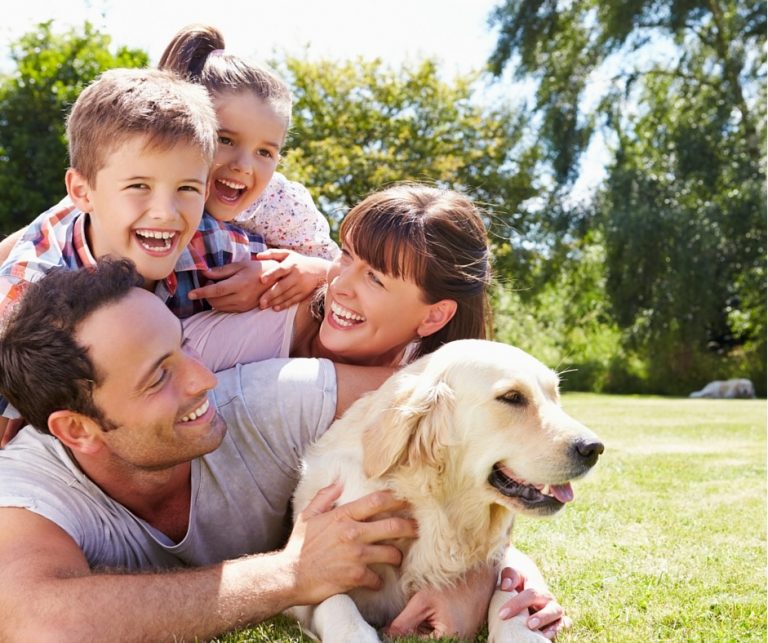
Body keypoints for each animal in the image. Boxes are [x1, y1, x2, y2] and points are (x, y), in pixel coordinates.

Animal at [286, 340, 600, 640]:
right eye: (512, 397)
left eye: (555, 396)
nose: (594, 448)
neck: (435, 510)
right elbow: (336, 602)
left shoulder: (501, 558)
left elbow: (509, 590)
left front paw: (521, 634)